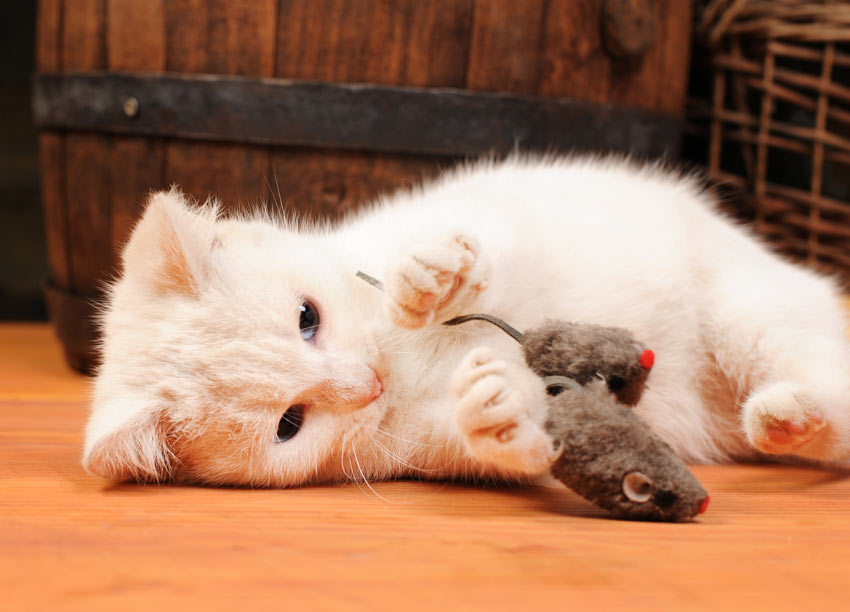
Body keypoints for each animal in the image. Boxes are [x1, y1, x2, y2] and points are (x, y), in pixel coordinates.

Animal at [83, 155, 848, 486]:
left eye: (307, 317)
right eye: (289, 424)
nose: (367, 384)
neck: (401, 364)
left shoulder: (492, 214)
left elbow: (483, 247)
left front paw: (429, 277)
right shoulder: (421, 446)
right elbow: (481, 445)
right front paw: (496, 415)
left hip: (749, 317)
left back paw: (786, 410)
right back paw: (786, 422)